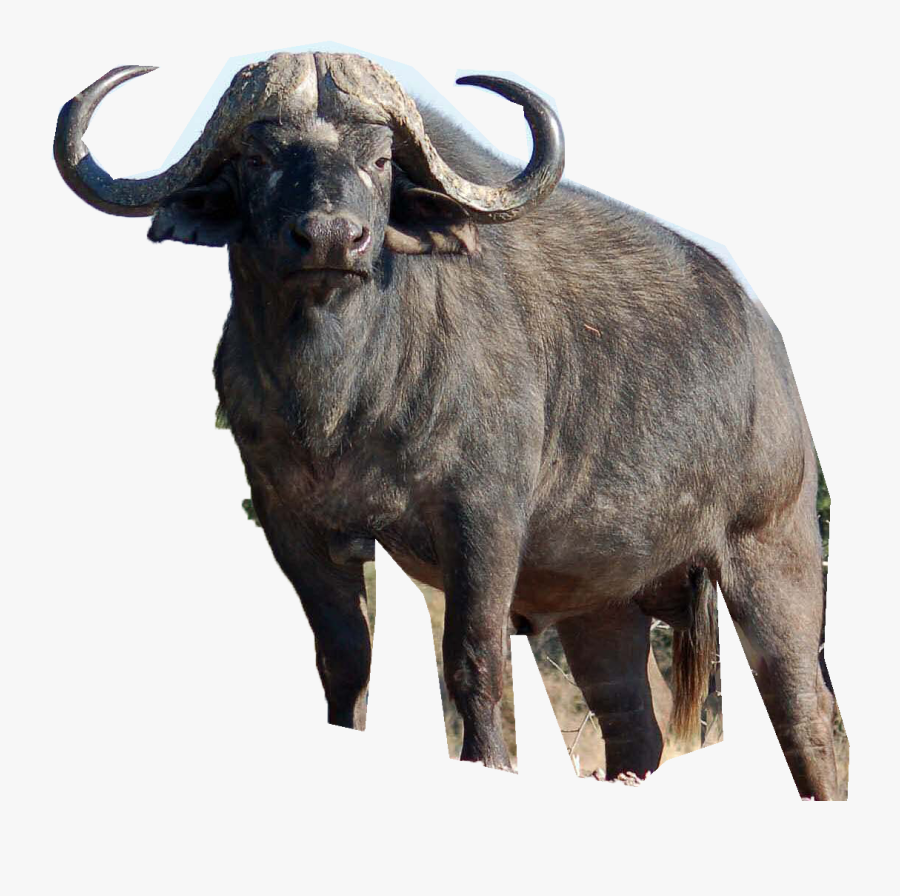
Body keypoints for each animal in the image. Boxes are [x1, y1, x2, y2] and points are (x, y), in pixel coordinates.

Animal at [54, 51, 842, 799]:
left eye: (379, 160)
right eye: (257, 158)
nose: (332, 239)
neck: (342, 400)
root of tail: (768, 348)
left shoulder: (482, 517)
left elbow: (473, 659)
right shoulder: (289, 519)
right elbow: (344, 657)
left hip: (775, 558)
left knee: (807, 716)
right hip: (602, 606)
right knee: (634, 729)